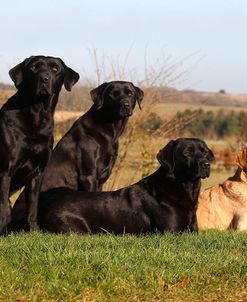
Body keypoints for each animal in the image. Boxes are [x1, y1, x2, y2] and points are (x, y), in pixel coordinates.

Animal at [0, 55, 79, 232]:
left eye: (55, 69)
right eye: (34, 67)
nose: (44, 78)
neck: (36, 115)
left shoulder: (38, 172)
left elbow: (33, 206)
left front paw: (34, 230)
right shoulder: (5, 170)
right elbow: (1, 205)